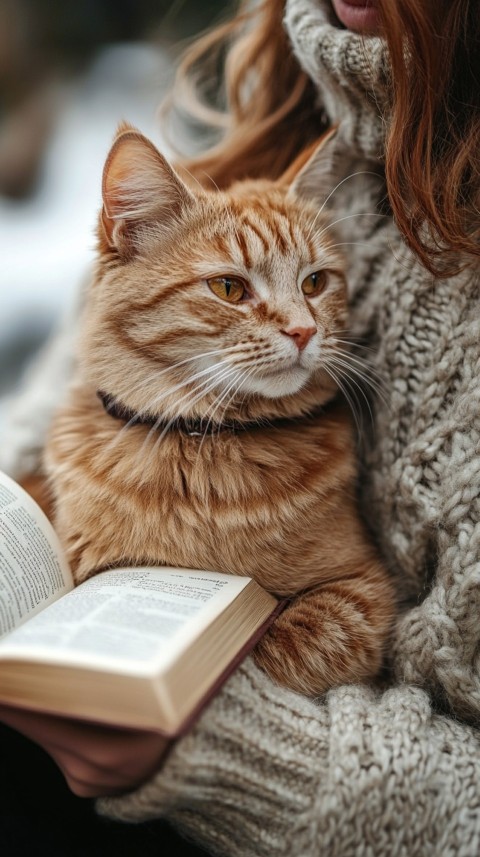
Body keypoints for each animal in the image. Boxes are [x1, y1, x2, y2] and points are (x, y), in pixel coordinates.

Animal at [44, 125, 394, 696]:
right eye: (229, 288)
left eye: (314, 283)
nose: (304, 331)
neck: (204, 447)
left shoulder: (360, 587)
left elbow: (286, 646)